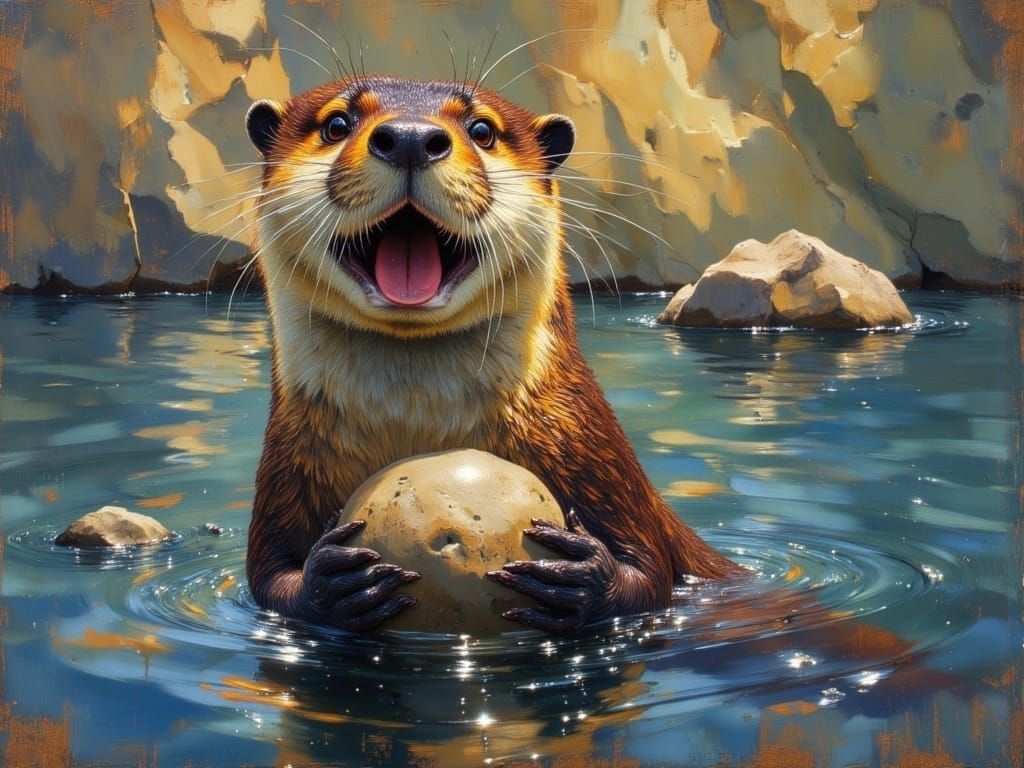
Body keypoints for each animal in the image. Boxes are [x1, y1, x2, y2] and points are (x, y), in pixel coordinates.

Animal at [244, 75, 740, 633]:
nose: (410, 137)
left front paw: (581, 575)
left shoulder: (598, 454)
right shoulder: (287, 471)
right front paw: (332, 580)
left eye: (482, 130)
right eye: (335, 124)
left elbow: (649, 574)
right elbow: (268, 578)